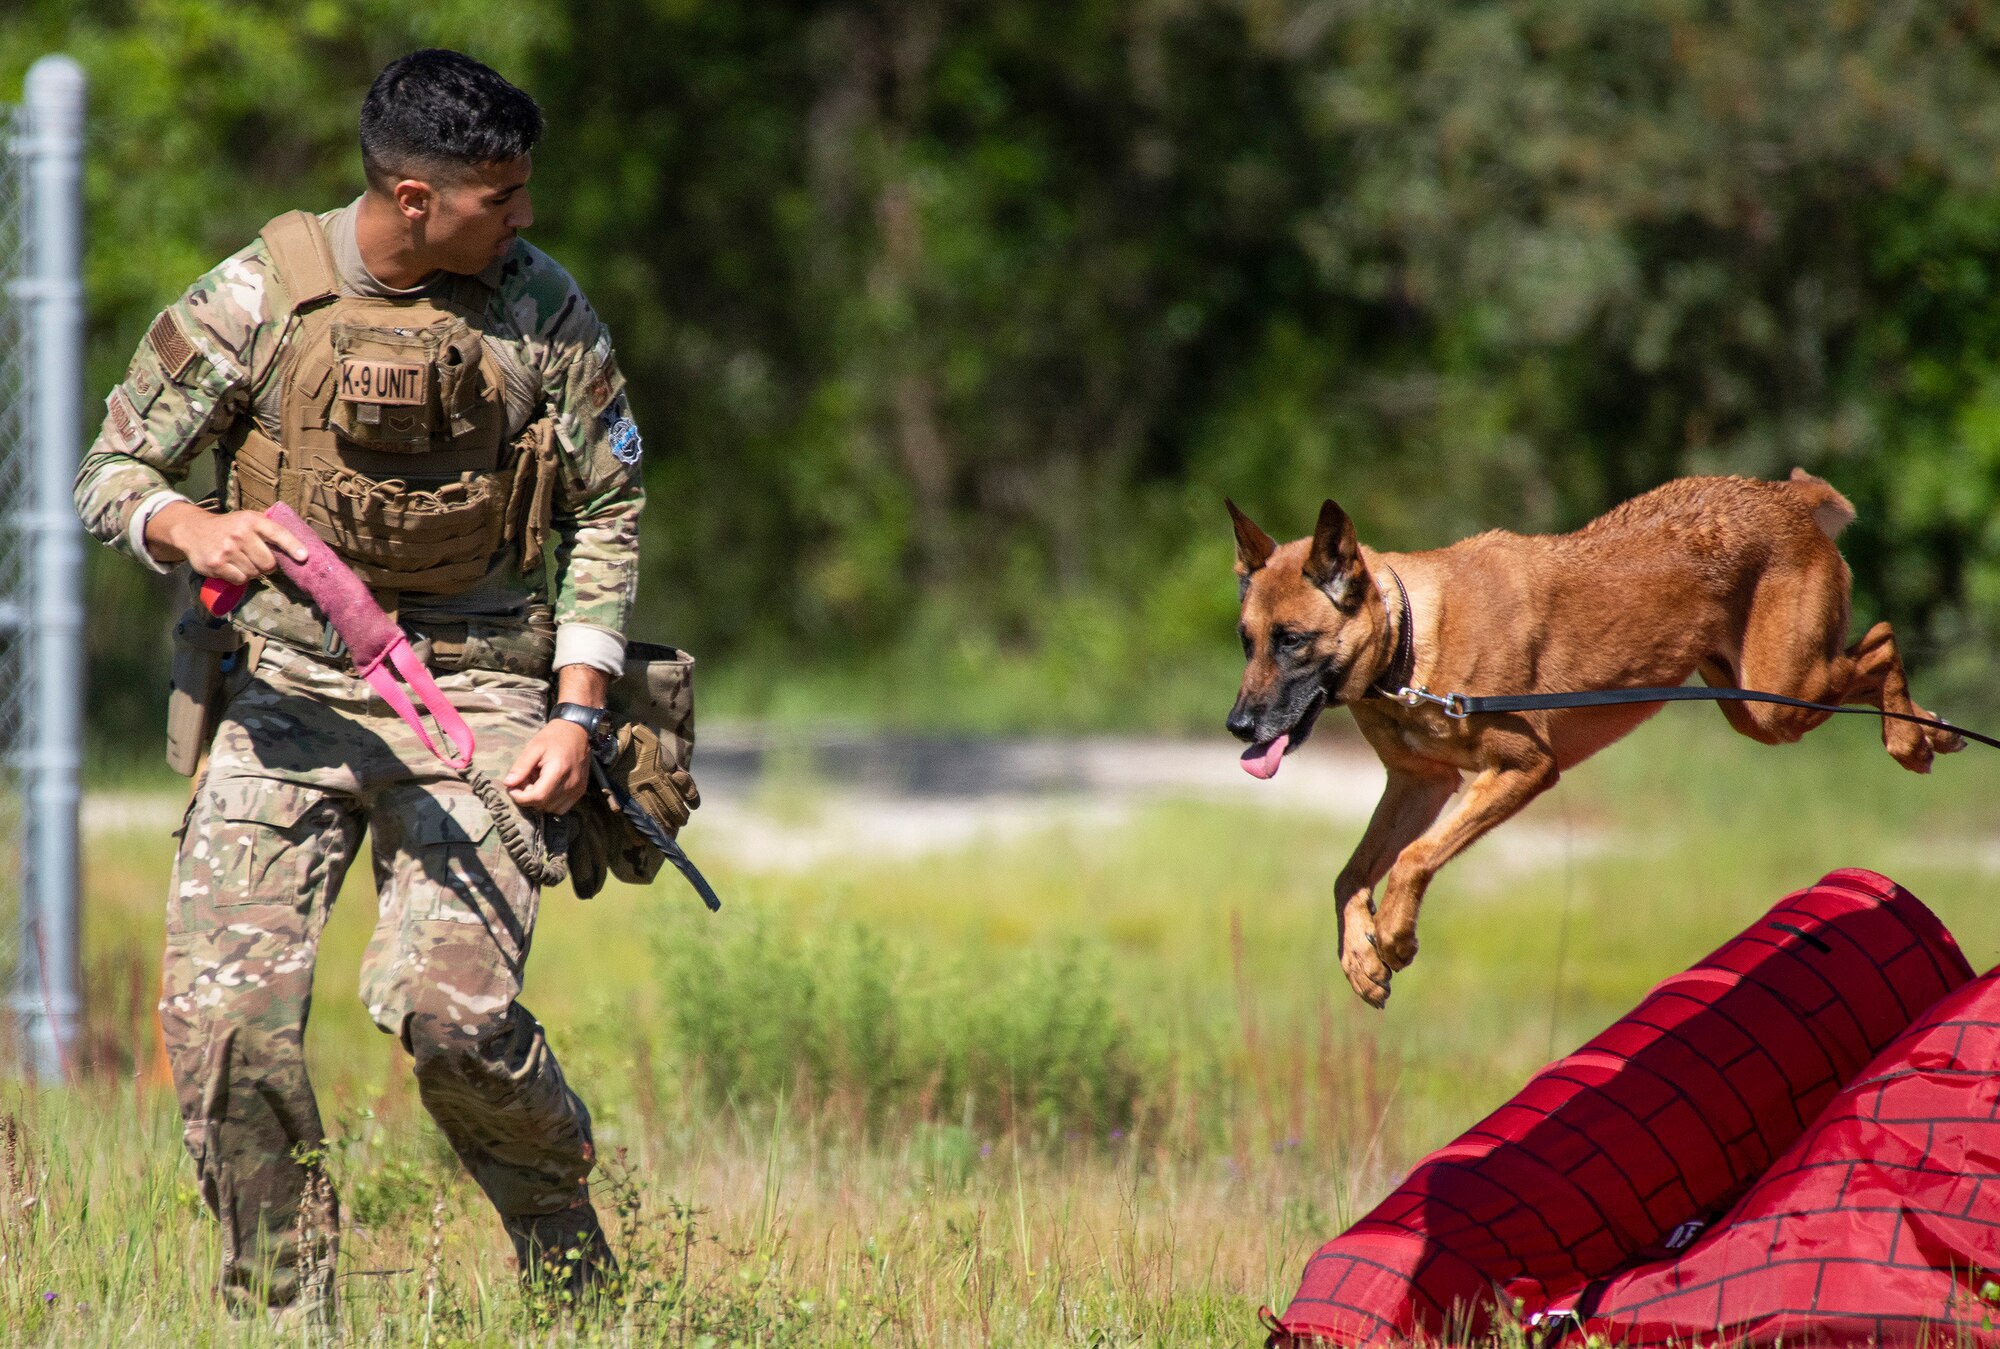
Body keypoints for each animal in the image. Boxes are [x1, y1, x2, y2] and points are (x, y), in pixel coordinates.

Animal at [1224, 468, 1960, 1004]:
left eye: (1292, 641)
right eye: (1247, 641)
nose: (1238, 728)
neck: (1411, 643)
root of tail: (1785, 492)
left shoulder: (1523, 768)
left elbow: (1412, 858)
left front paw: (1395, 938)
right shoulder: (1421, 785)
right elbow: (1350, 874)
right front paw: (1361, 958)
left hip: (1782, 695)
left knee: (1882, 642)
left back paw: (1913, 740)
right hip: (1752, 700)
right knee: (1873, 650)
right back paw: (1932, 730)